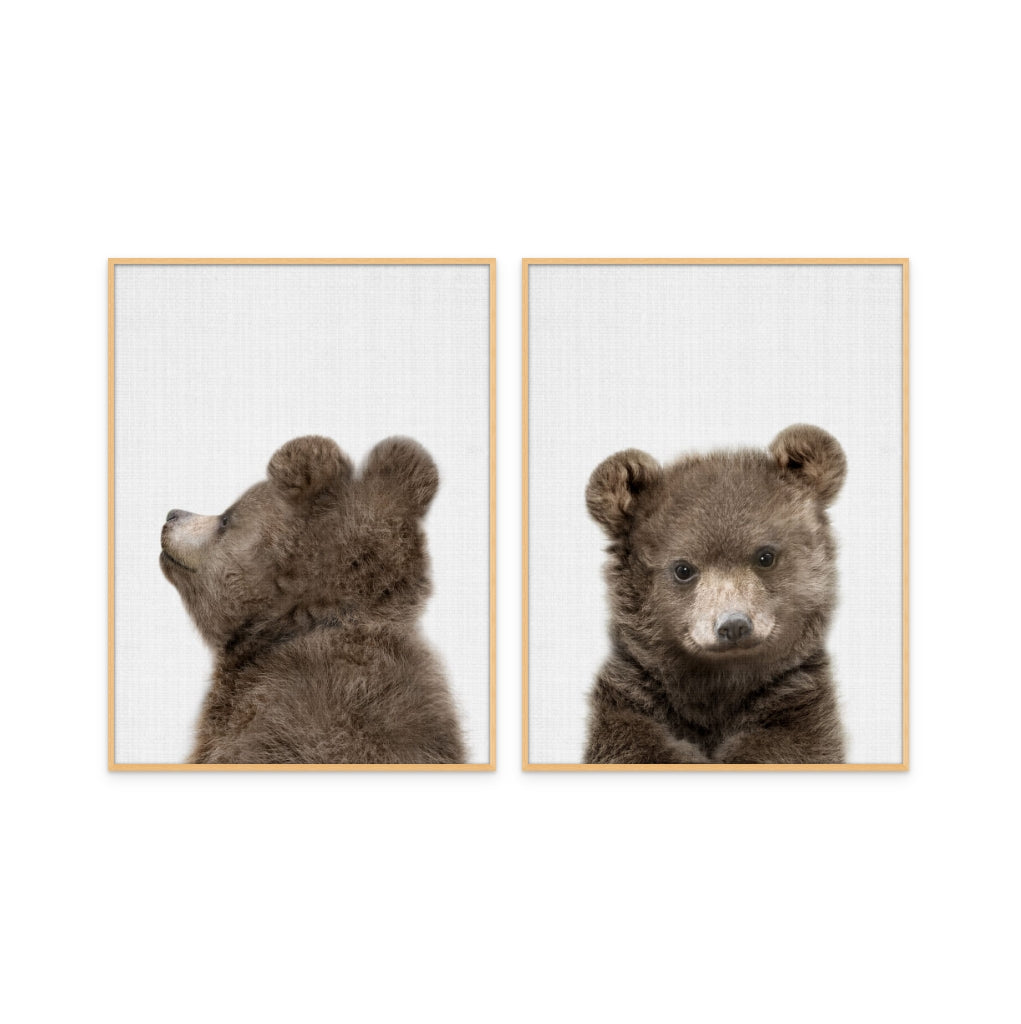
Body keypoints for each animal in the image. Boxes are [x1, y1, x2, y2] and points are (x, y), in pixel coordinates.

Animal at [583, 424, 847, 765]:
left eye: (765, 556)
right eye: (683, 568)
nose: (733, 625)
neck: (718, 686)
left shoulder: (797, 704)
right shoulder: (632, 699)